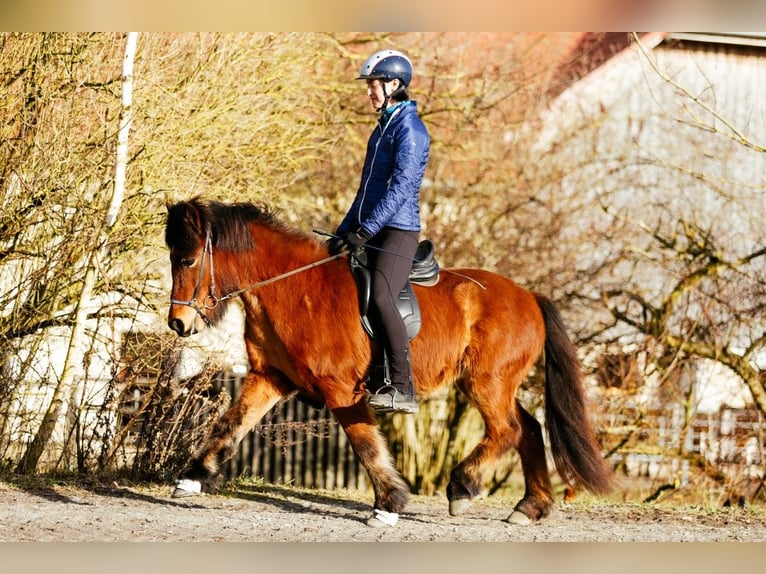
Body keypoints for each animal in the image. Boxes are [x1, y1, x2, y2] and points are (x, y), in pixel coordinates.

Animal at [165, 197, 616, 528]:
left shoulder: (341, 389)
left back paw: (462, 488)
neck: (292, 287)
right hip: (496, 383)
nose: (178, 323)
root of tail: (530, 298)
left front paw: (389, 503)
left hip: (486, 382)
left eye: (187, 260)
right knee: (529, 429)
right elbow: (229, 424)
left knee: (507, 430)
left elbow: (365, 444)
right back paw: (530, 507)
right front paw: (192, 476)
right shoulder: (269, 378)